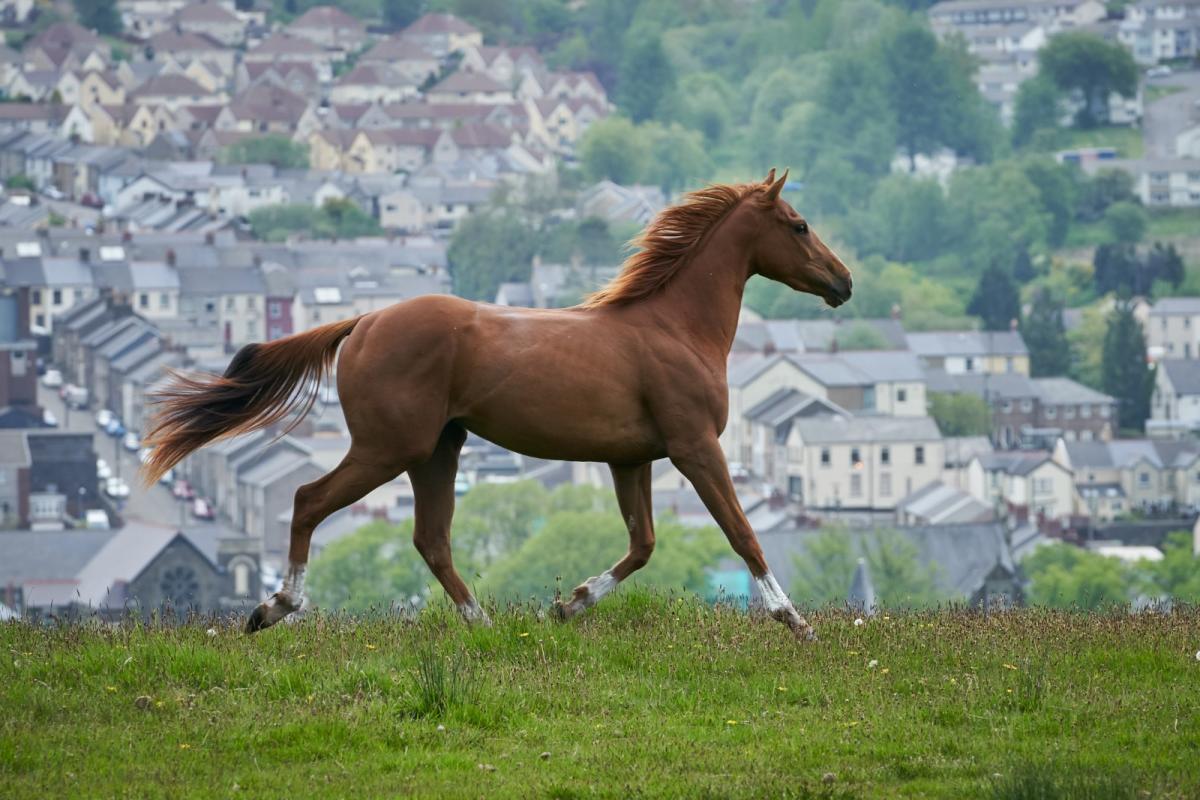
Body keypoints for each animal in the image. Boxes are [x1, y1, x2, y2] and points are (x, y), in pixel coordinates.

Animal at [142, 169, 854, 638]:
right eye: (798, 225)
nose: (843, 281)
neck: (675, 327)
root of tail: (364, 321)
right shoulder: (695, 448)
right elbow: (741, 532)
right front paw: (795, 620)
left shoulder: (632, 459)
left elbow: (644, 543)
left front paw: (568, 604)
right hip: (388, 448)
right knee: (309, 501)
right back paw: (274, 609)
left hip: (437, 450)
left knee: (430, 538)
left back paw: (481, 623)